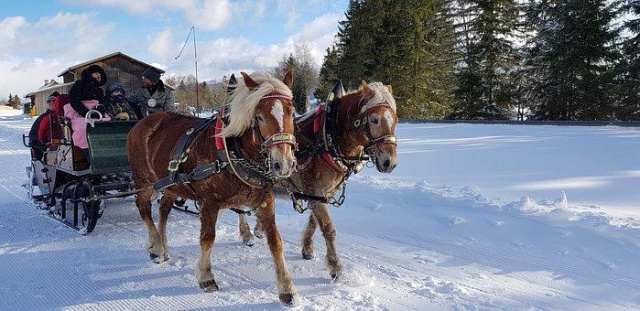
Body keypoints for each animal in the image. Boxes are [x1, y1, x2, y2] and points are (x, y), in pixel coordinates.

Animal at [128, 70, 302, 308]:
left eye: (292, 113)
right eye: (259, 117)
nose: (283, 164)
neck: (234, 152)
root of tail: (142, 122)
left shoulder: (267, 201)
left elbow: (276, 242)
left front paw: (287, 288)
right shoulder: (209, 202)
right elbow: (207, 238)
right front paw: (205, 276)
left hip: (171, 184)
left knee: (163, 210)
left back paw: (162, 245)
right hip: (144, 181)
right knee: (144, 208)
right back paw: (155, 245)